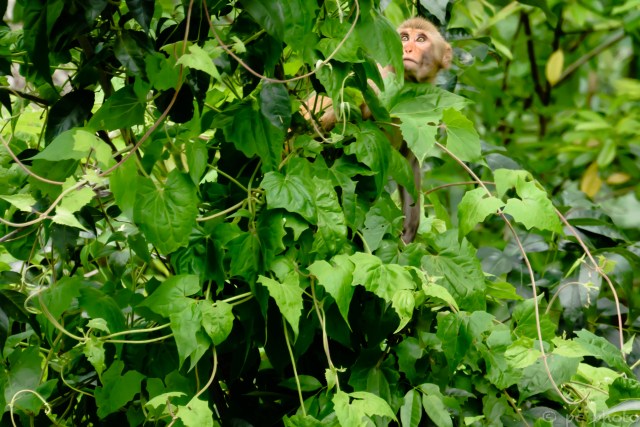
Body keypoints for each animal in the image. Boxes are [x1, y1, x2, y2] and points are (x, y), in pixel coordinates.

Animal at [307, 16, 452, 243]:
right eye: (404, 37)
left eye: (421, 39)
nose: (407, 49)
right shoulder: (379, 80)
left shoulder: (429, 108)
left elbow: (410, 163)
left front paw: (409, 230)